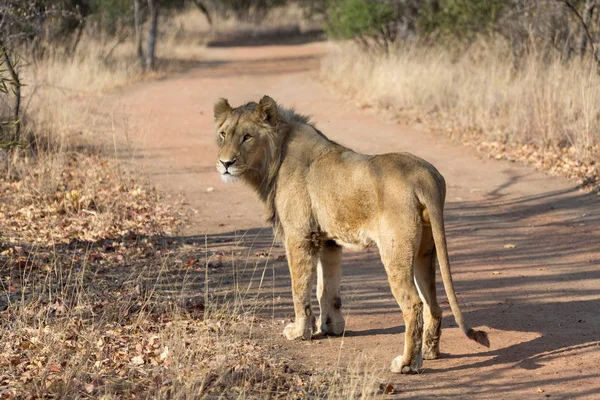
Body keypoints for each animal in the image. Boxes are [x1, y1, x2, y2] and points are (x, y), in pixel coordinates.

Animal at [213, 95, 490, 374]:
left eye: (247, 137)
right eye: (223, 134)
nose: (225, 164)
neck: (275, 156)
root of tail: (425, 176)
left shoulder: (299, 235)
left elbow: (299, 287)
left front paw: (300, 331)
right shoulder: (327, 240)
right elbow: (327, 288)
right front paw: (330, 327)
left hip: (395, 251)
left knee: (414, 304)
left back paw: (407, 363)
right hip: (425, 250)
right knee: (433, 303)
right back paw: (430, 352)